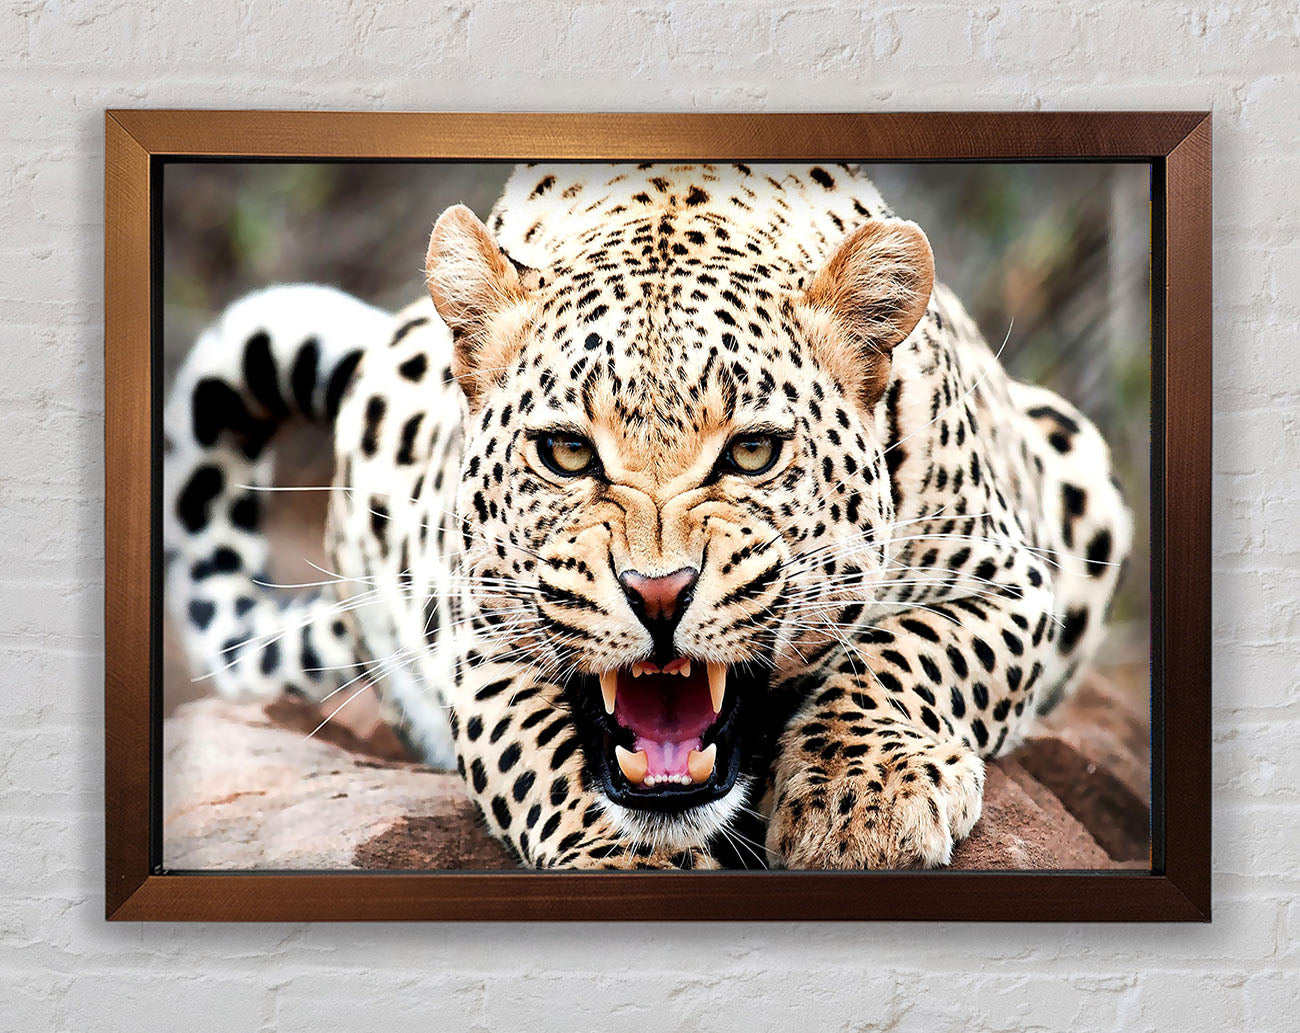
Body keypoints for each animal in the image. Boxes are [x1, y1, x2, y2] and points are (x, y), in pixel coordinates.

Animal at [163, 163, 1132, 869]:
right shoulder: (483, 641)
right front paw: (626, 859)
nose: (658, 594)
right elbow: (545, 758)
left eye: (752, 452)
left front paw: (862, 799)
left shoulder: (1010, 581)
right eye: (565, 453)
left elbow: (909, 652)